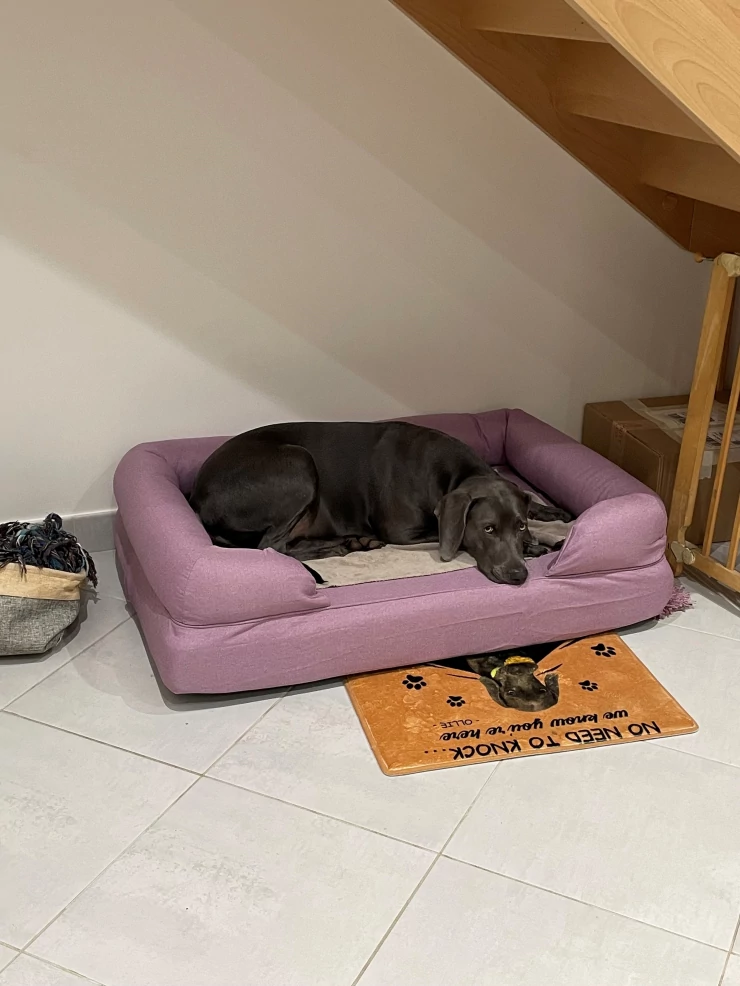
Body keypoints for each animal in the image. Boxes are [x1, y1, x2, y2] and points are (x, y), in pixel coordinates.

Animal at [190, 420, 570, 585]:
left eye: (519, 524)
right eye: (488, 529)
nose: (518, 575)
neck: (454, 473)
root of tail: (197, 497)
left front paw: (547, 517)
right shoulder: (402, 532)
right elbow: (453, 534)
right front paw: (539, 545)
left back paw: (352, 542)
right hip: (298, 464)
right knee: (272, 546)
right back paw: (345, 544)